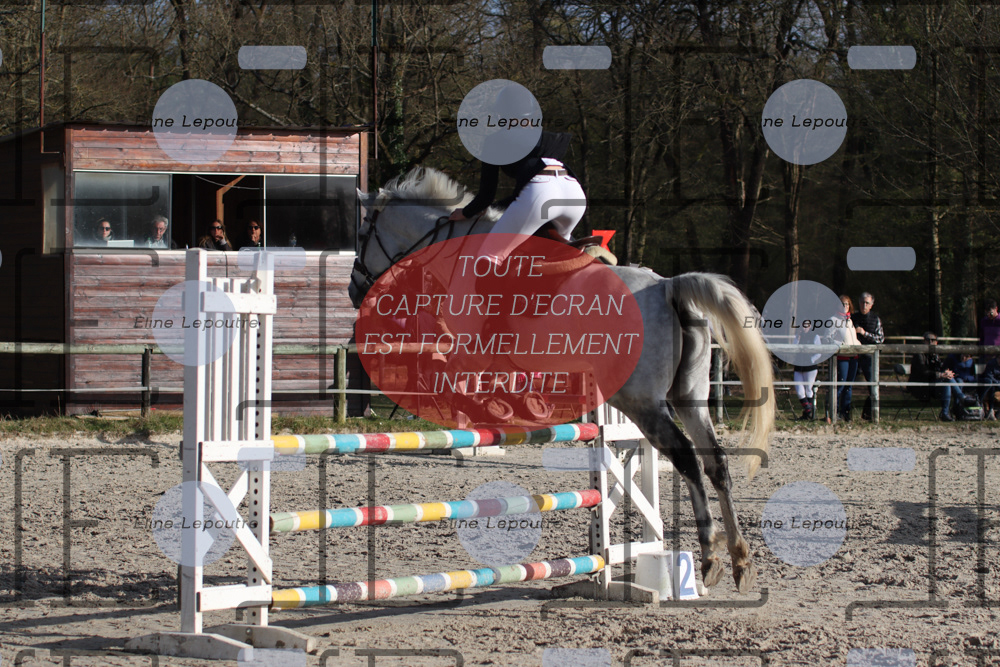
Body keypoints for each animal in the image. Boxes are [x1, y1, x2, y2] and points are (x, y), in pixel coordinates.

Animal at [350, 166, 775, 594]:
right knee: (715, 462)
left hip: (639, 401)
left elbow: (455, 381)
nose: (355, 289)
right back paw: (738, 559)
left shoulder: (472, 348)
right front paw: (512, 407)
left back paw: (710, 557)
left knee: (686, 457)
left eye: (363, 232)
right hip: (689, 396)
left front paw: (498, 409)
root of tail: (668, 285)